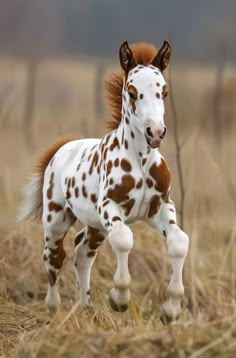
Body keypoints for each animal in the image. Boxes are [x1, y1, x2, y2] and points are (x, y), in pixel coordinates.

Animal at [17, 40, 189, 324]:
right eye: (132, 92)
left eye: (163, 92)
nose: (155, 132)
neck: (140, 162)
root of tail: (63, 147)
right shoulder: (109, 207)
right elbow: (123, 238)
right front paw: (119, 299)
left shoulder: (161, 208)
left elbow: (179, 242)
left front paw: (171, 309)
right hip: (56, 220)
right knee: (54, 257)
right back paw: (53, 309)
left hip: (95, 227)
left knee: (82, 253)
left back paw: (86, 308)